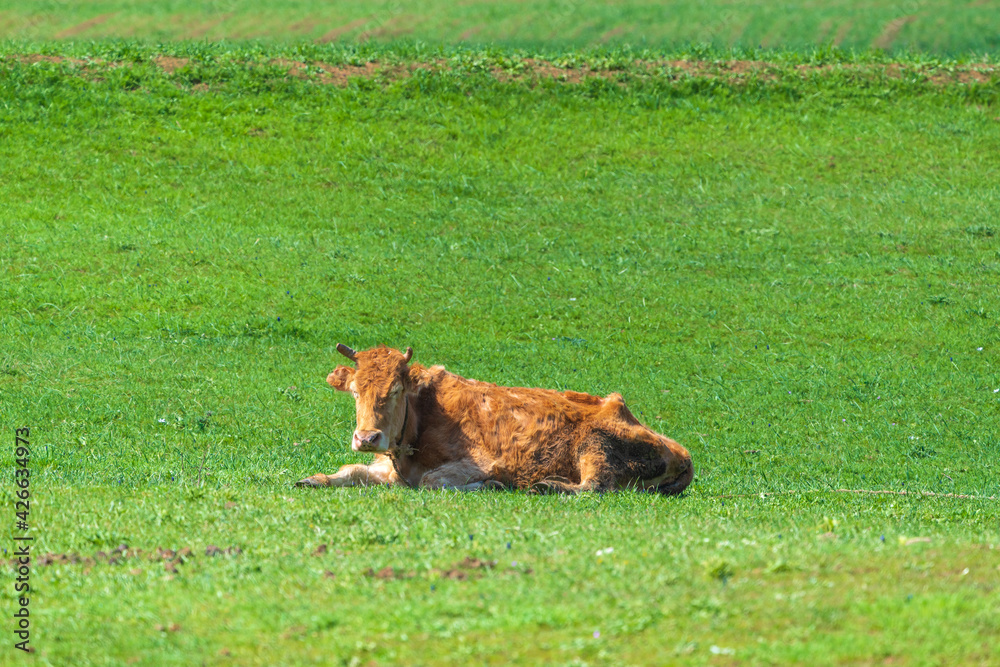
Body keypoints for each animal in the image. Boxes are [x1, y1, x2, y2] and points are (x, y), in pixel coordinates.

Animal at [295, 344, 693, 494]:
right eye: (355, 391)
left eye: (395, 390)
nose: (367, 438)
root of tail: (682, 452)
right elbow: (350, 470)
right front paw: (312, 479)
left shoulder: (480, 462)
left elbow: (434, 481)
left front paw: (490, 485)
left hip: (596, 446)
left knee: (593, 487)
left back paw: (546, 486)